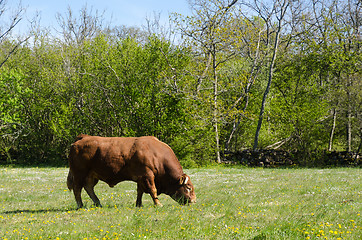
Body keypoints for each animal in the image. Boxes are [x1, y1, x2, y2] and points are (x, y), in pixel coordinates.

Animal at [66, 135, 197, 208]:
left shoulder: (141, 178)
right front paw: (158, 204)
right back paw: (80, 205)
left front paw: (138, 204)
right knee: (77, 189)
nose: (194, 201)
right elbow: (152, 190)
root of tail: (81, 139)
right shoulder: (147, 175)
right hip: (79, 174)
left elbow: (140, 191)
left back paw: (98, 203)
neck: (157, 155)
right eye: (188, 187)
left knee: (88, 188)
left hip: (91, 176)